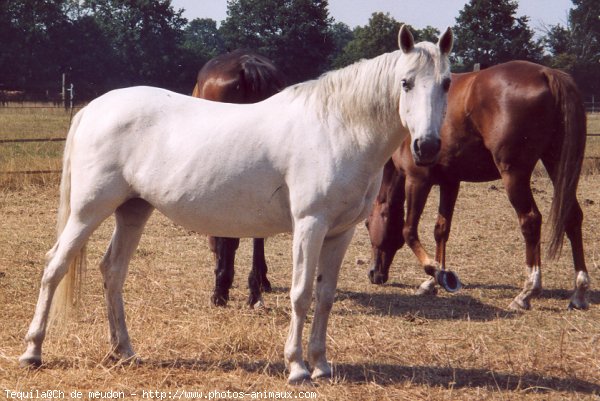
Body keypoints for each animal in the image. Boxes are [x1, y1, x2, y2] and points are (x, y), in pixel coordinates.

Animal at [366, 60, 592, 310]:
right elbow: (441, 230)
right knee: (573, 217)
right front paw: (434, 279)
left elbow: (409, 230)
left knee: (531, 220)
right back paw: (579, 292)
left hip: (514, 175)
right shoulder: (450, 182)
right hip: (557, 163)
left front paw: (434, 272)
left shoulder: (417, 180)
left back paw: (527, 292)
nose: (374, 274)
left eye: (367, 224)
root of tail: (546, 73)